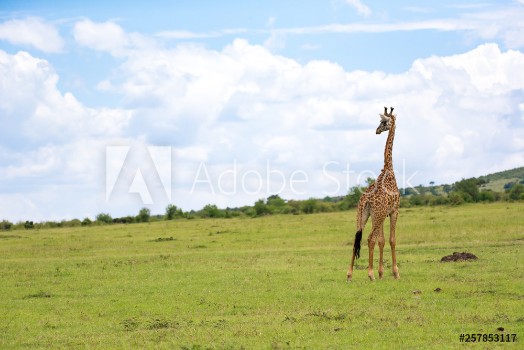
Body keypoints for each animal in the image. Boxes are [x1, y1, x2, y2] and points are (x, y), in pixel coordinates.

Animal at [348, 106, 402, 282]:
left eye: (384, 122)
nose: (377, 130)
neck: (388, 169)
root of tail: (365, 200)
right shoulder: (394, 210)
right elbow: (391, 240)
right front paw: (395, 273)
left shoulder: (382, 214)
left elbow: (382, 240)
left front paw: (381, 273)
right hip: (376, 215)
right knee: (369, 238)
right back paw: (370, 274)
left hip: (363, 214)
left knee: (356, 238)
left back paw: (349, 274)